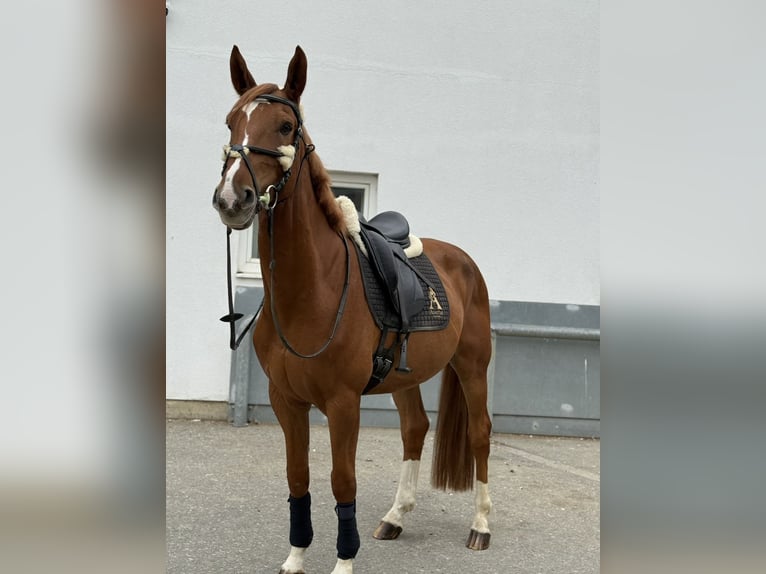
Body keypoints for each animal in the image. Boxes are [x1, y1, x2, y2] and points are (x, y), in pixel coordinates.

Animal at [212, 45, 493, 574]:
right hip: (407, 375)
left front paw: (343, 562)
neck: (312, 294)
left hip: (472, 366)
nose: (231, 199)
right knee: (415, 429)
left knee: (481, 433)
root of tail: (462, 260)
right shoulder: (286, 401)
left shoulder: (343, 404)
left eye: (285, 126)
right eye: (231, 122)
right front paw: (296, 557)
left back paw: (482, 526)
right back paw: (395, 517)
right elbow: (298, 478)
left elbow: (343, 481)